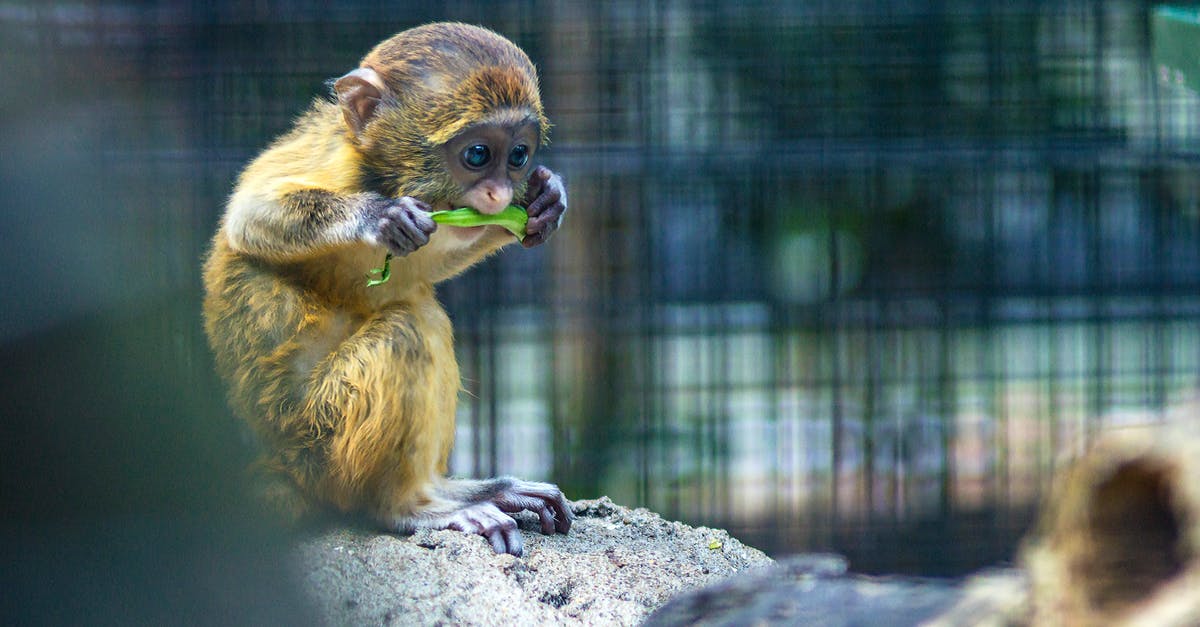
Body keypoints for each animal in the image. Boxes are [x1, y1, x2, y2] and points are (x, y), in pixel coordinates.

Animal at [202, 22, 571, 556]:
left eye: (518, 156)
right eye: (478, 154)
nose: (500, 195)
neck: (385, 175)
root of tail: (285, 464)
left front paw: (545, 201)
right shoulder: (336, 162)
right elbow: (249, 218)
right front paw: (378, 217)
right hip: (322, 440)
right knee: (408, 329)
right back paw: (406, 506)